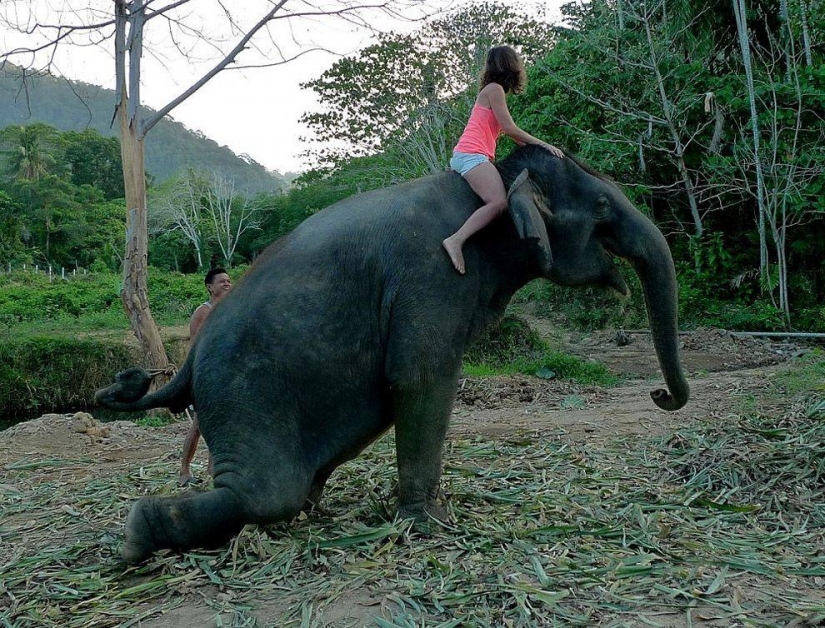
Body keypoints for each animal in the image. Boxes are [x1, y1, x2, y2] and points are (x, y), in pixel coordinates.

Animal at [96, 144, 689, 564]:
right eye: (603, 205)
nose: (660, 394)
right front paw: (431, 525)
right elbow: (421, 378)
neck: (492, 186)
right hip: (241, 390)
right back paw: (136, 537)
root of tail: (188, 360)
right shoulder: (434, 273)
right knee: (268, 491)